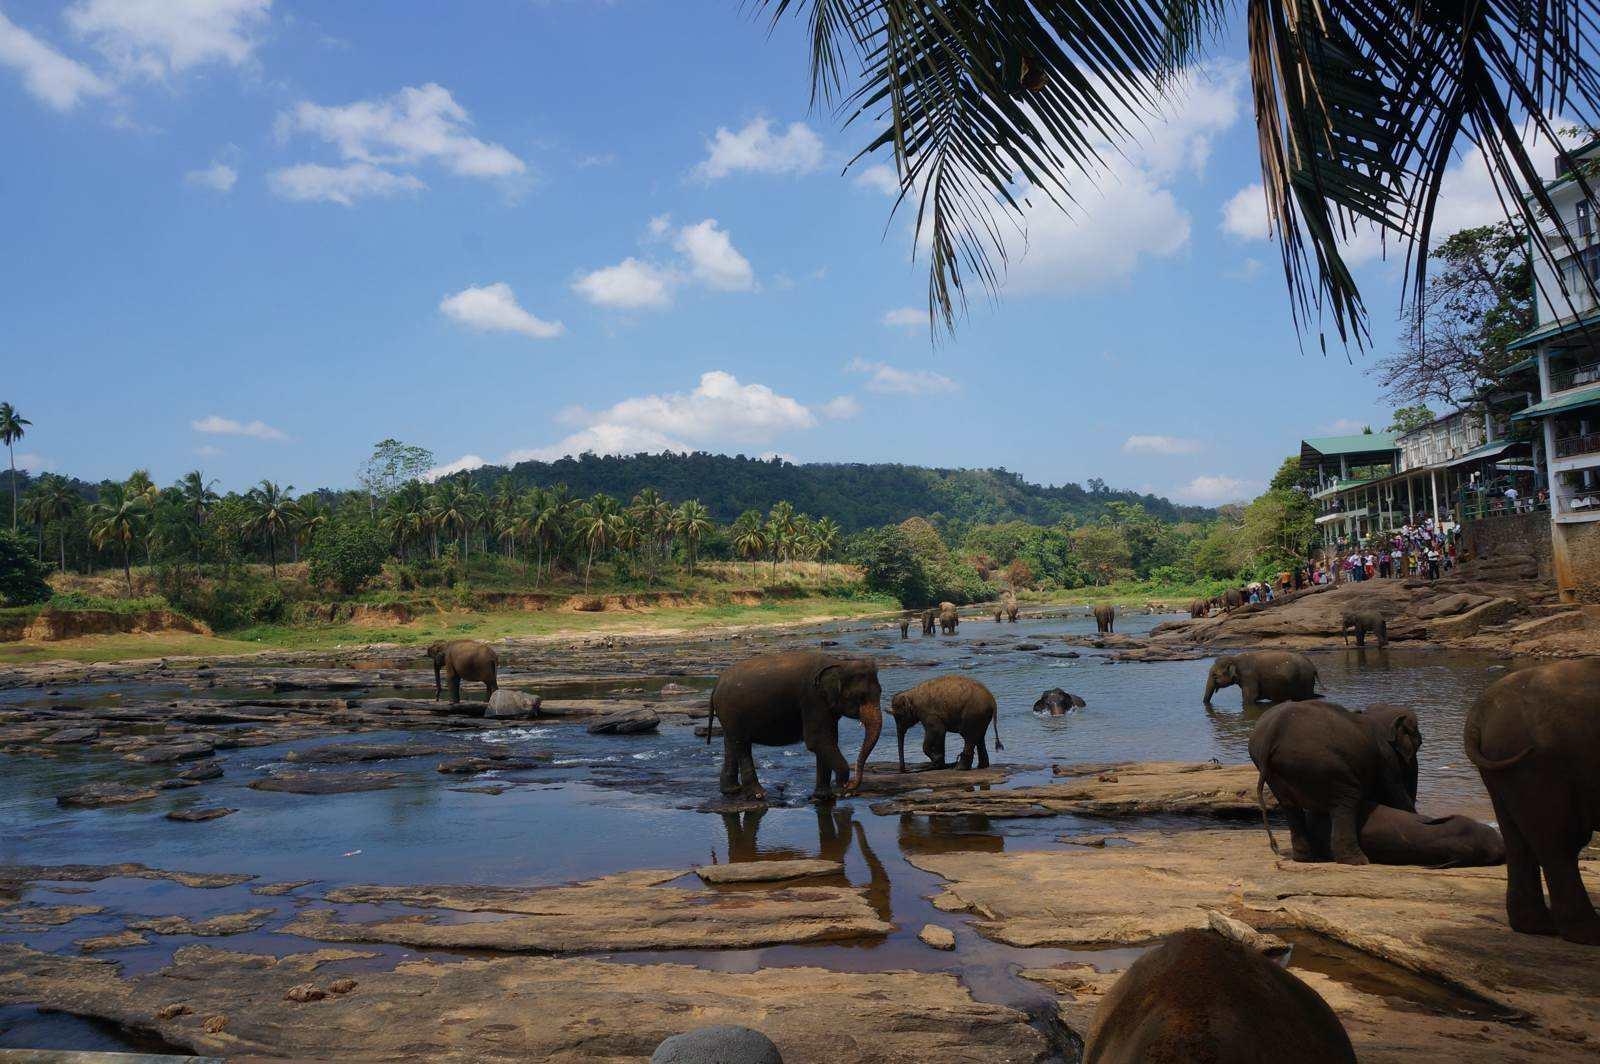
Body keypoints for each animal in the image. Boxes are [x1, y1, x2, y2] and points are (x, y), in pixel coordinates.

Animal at [713, 652, 889, 800]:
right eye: (860, 697)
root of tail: (717, 684)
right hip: (732, 712)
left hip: (729, 717)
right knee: (741, 745)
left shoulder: (825, 706)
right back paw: (758, 794)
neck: (840, 663)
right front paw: (840, 789)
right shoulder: (813, 699)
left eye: (880, 692)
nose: (850, 786)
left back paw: (731, 791)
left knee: (731, 744)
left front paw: (824, 796)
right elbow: (817, 740)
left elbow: (828, 740)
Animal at [1248, 697, 1427, 864]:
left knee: (1290, 807)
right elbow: (1394, 794)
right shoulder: (1385, 758)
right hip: (1323, 763)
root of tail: (1274, 730)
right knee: (1348, 799)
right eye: (1419, 743)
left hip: (1285, 770)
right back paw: (1358, 861)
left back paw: (1306, 858)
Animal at [1465, 659, 1600, 940]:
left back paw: (1538, 928)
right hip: (1538, 764)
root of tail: (1480, 713)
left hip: (1505, 766)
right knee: (1557, 840)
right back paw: (1589, 933)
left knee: (1518, 839)